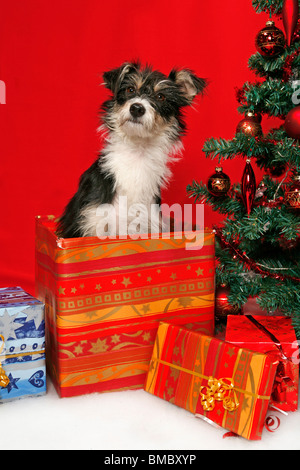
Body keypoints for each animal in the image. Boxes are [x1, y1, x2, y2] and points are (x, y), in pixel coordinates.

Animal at [56, 61, 206, 239]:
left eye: (161, 97)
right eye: (130, 90)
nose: (137, 108)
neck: (137, 152)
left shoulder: (147, 225)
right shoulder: (90, 222)